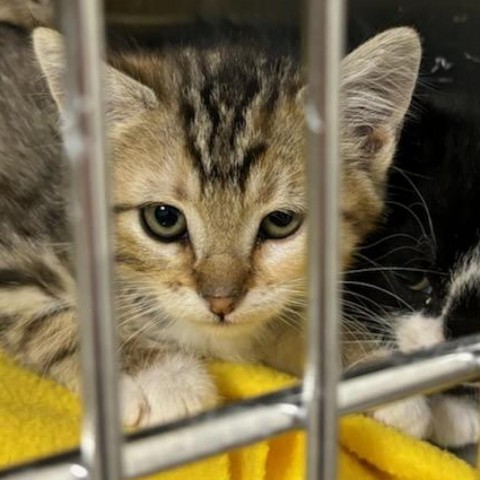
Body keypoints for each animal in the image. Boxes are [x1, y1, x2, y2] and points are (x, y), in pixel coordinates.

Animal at [0, 23, 420, 428]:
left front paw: (366, 366)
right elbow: (57, 318)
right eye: (164, 219)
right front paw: (160, 376)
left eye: (281, 221)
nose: (221, 302)